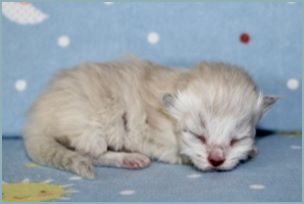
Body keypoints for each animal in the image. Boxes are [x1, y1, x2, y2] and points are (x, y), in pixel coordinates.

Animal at [22, 57, 276, 178]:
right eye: (198, 136)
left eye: (236, 139)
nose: (216, 160)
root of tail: (36, 121)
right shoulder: (163, 145)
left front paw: (249, 150)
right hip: (90, 128)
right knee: (90, 154)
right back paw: (128, 159)